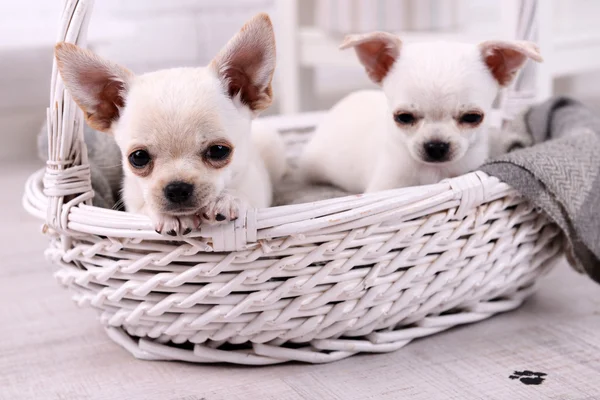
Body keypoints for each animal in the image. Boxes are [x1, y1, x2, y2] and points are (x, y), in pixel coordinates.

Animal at [54, 14, 286, 236]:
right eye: (138, 157)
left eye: (219, 151)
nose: (177, 188)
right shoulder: (133, 205)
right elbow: (145, 207)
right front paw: (170, 217)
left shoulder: (258, 191)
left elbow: (247, 198)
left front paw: (228, 199)